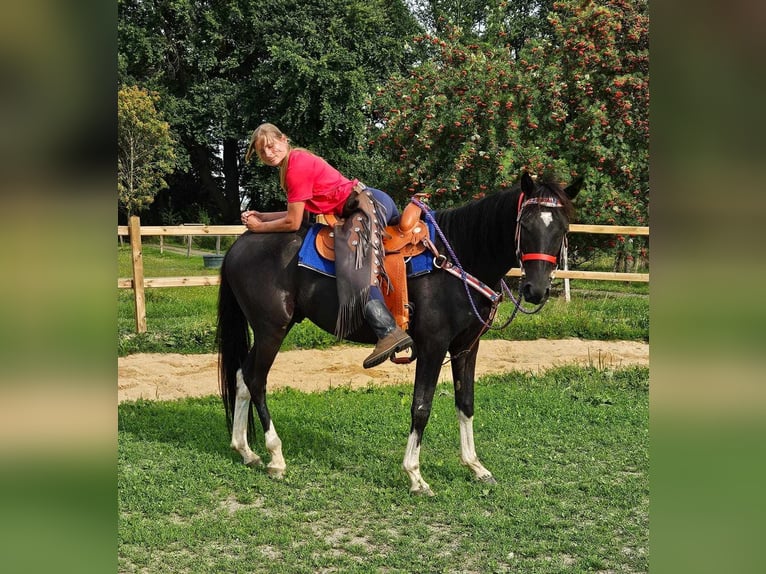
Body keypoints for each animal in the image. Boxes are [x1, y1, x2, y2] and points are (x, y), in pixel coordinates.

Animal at [216, 170, 584, 496]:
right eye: (526, 224)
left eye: (562, 228)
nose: (537, 290)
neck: (457, 260)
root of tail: (240, 245)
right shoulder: (434, 346)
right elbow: (421, 407)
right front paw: (415, 477)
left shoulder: (466, 347)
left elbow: (466, 403)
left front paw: (475, 467)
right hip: (271, 329)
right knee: (256, 379)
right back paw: (275, 457)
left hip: (271, 328)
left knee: (241, 376)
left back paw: (245, 450)